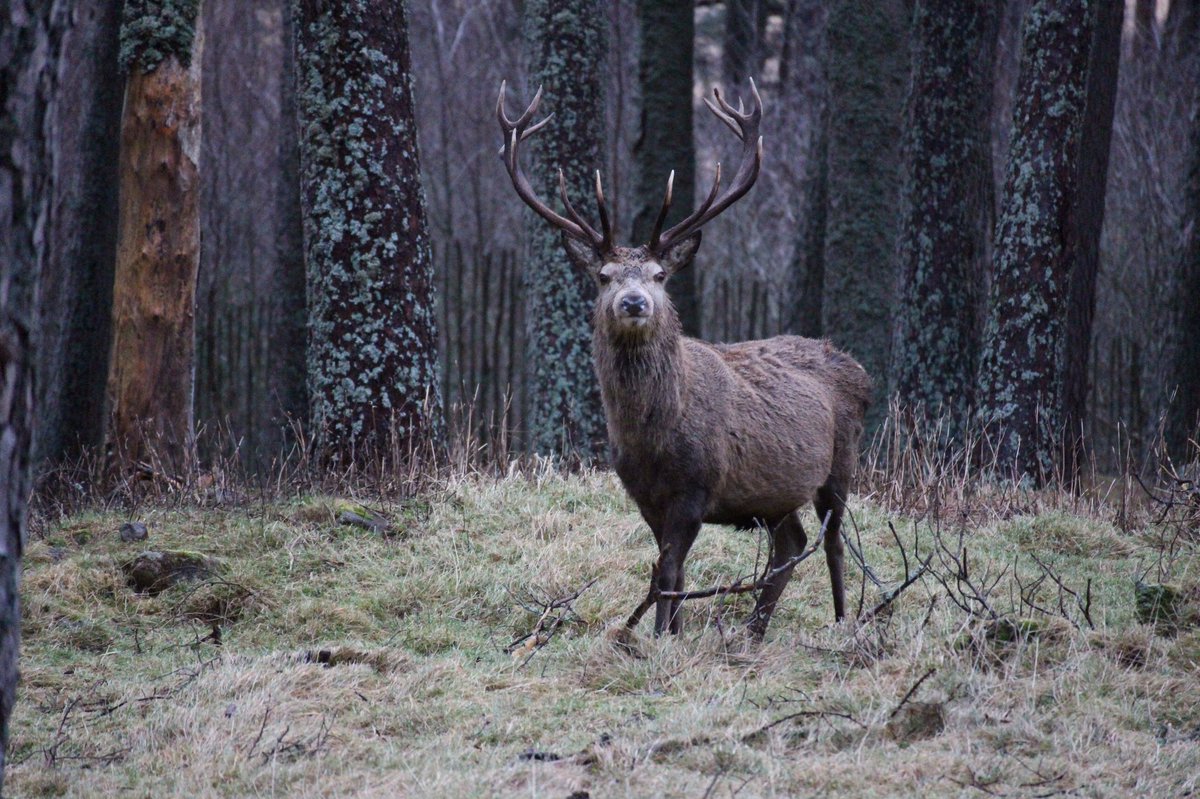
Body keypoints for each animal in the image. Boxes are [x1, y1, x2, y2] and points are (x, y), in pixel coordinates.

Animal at [497, 79, 871, 638]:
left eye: (659, 275)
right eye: (604, 276)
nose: (634, 302)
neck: (653, 436)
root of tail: (860, 370)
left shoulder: (697, 486)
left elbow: (671, 568)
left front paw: (655, 638)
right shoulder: (643, 494)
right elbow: (665, 567)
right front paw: (668, 632)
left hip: (842, 460)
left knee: (832, 540)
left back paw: (844, 621)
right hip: (776, 492)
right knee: (792, 542)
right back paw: (753, 630)